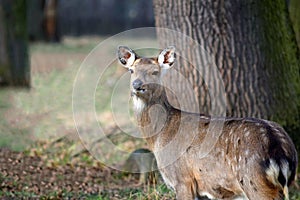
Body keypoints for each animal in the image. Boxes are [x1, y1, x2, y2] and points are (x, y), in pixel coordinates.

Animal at [117, 46, 298, 199]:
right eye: (131, 70)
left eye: (155, 72)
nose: (137, 85)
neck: (159, 138)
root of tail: (279, 151)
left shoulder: (182, 179)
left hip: (254, 181)